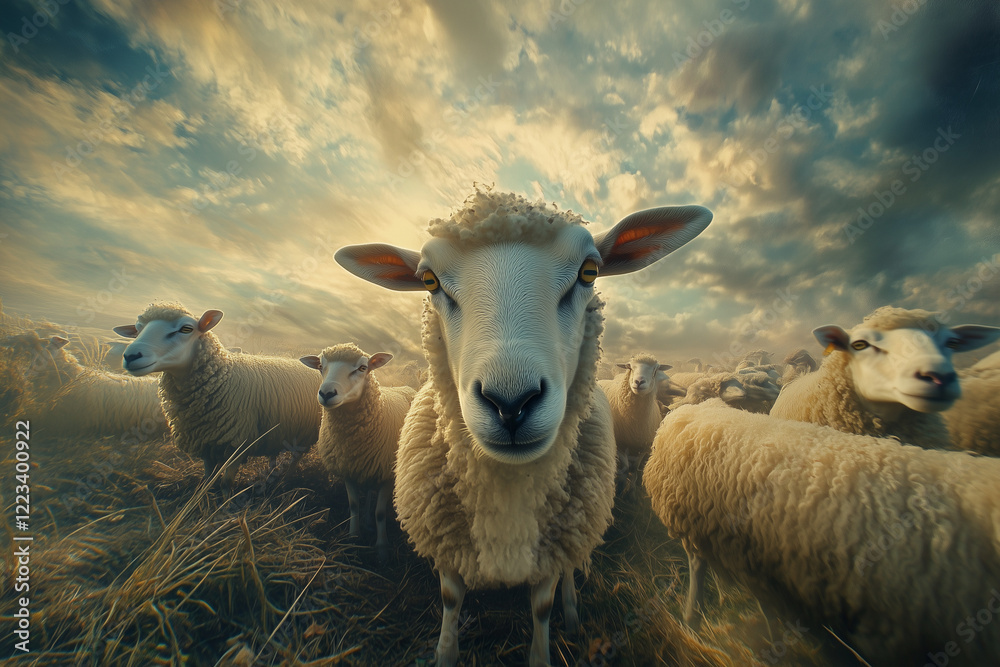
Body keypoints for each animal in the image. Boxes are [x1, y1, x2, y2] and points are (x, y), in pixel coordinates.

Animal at [114, 303, 321, 487]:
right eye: (137, 329)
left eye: (186, 329)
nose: (131, 356)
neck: (222, 377)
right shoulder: (206, 442)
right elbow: (207, 478)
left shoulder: (237, 443)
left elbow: (226, 483)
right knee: (274, 453)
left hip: (305, 432)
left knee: (295, 457)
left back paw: (287, 479)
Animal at [299, 343, 416, 562]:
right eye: (320, 366)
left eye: (362, 368)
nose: (326, 393)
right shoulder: (349, 469)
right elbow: (353, 504)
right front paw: (353, 538)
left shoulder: (387, 475)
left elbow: (380, 513)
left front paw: (382, 549)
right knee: (369, 493)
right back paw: (367, 522)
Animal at [334, 188, 712, 667]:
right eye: (429, 281)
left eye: (590, 271)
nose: (510, 404)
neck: (507, 488)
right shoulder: (446, 546)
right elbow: (451, 600)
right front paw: (445, 651)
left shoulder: (549, 551)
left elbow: (543, 606)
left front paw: (549, 635)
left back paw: (573, 614)